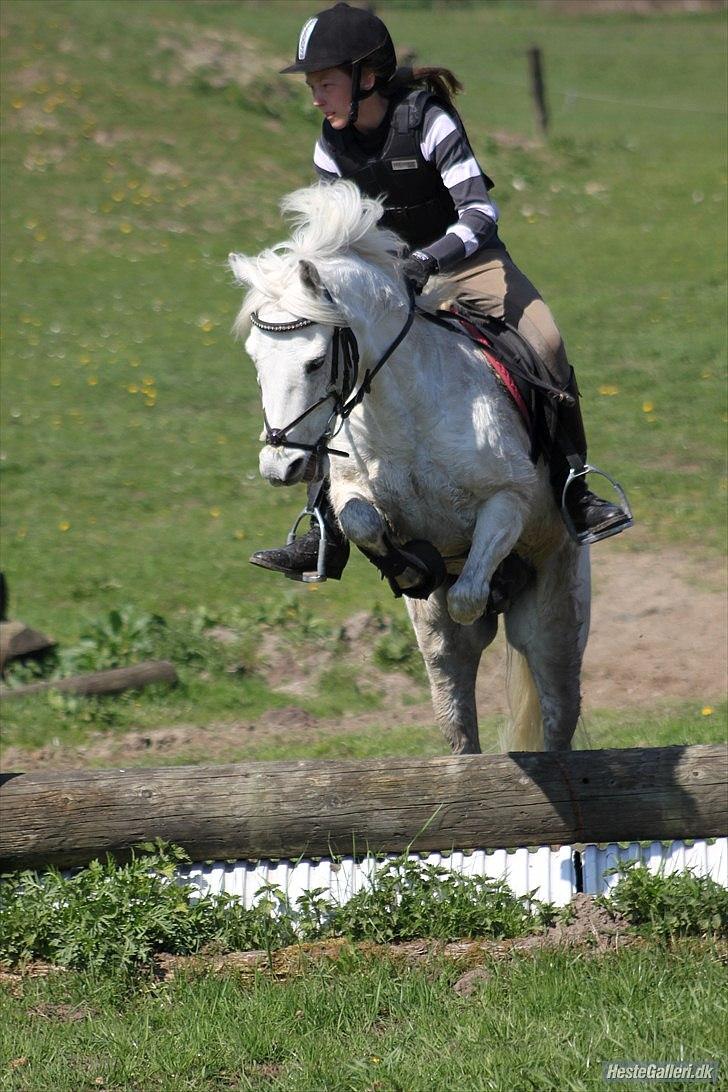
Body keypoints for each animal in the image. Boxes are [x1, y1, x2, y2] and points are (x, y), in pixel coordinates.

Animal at [230, 183, 589, 755]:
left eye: (314, 362)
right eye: (255, 360)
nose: (280, 466)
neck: (406, 410)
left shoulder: (510, 501)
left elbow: (467, 594)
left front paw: (448, 575)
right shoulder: (352, 488)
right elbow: (361, 521)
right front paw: (411, 566)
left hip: (555, 616)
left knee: (556, 711)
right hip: (439, 648)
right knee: (456, 704)